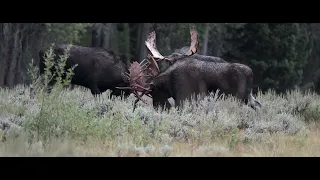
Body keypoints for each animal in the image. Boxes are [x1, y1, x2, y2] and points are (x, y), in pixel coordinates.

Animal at [116, 27, 262, 110]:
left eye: (153, 92)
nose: (161, 107)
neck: (168, 82)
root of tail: (251, 73)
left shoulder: (184, 96)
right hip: (248, 96)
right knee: (259, 105)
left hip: (240, 97)